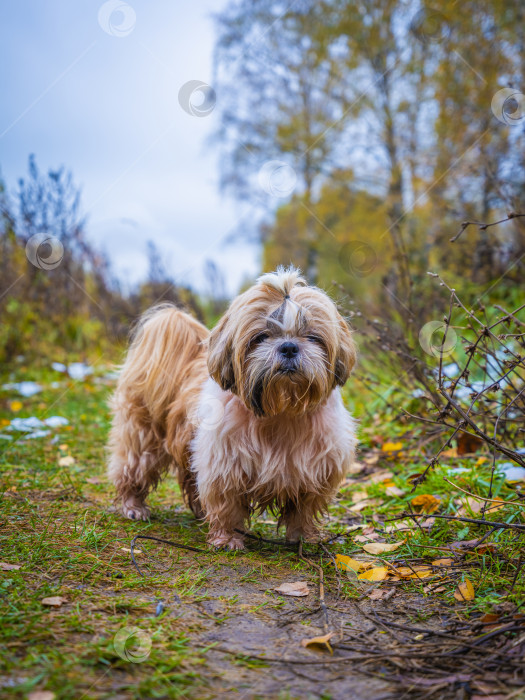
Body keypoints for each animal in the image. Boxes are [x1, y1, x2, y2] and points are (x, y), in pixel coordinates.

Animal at [108, 266, 358, 548]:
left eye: (313, 337)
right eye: (261, 337)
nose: (289, 347)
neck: (281, 411)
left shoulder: (317, 469)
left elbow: (303, 509)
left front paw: (304, 537)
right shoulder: (223, 465)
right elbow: (226, 505)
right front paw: (227, 539)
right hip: (142, 437)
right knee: (132, 468)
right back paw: (133, 506)